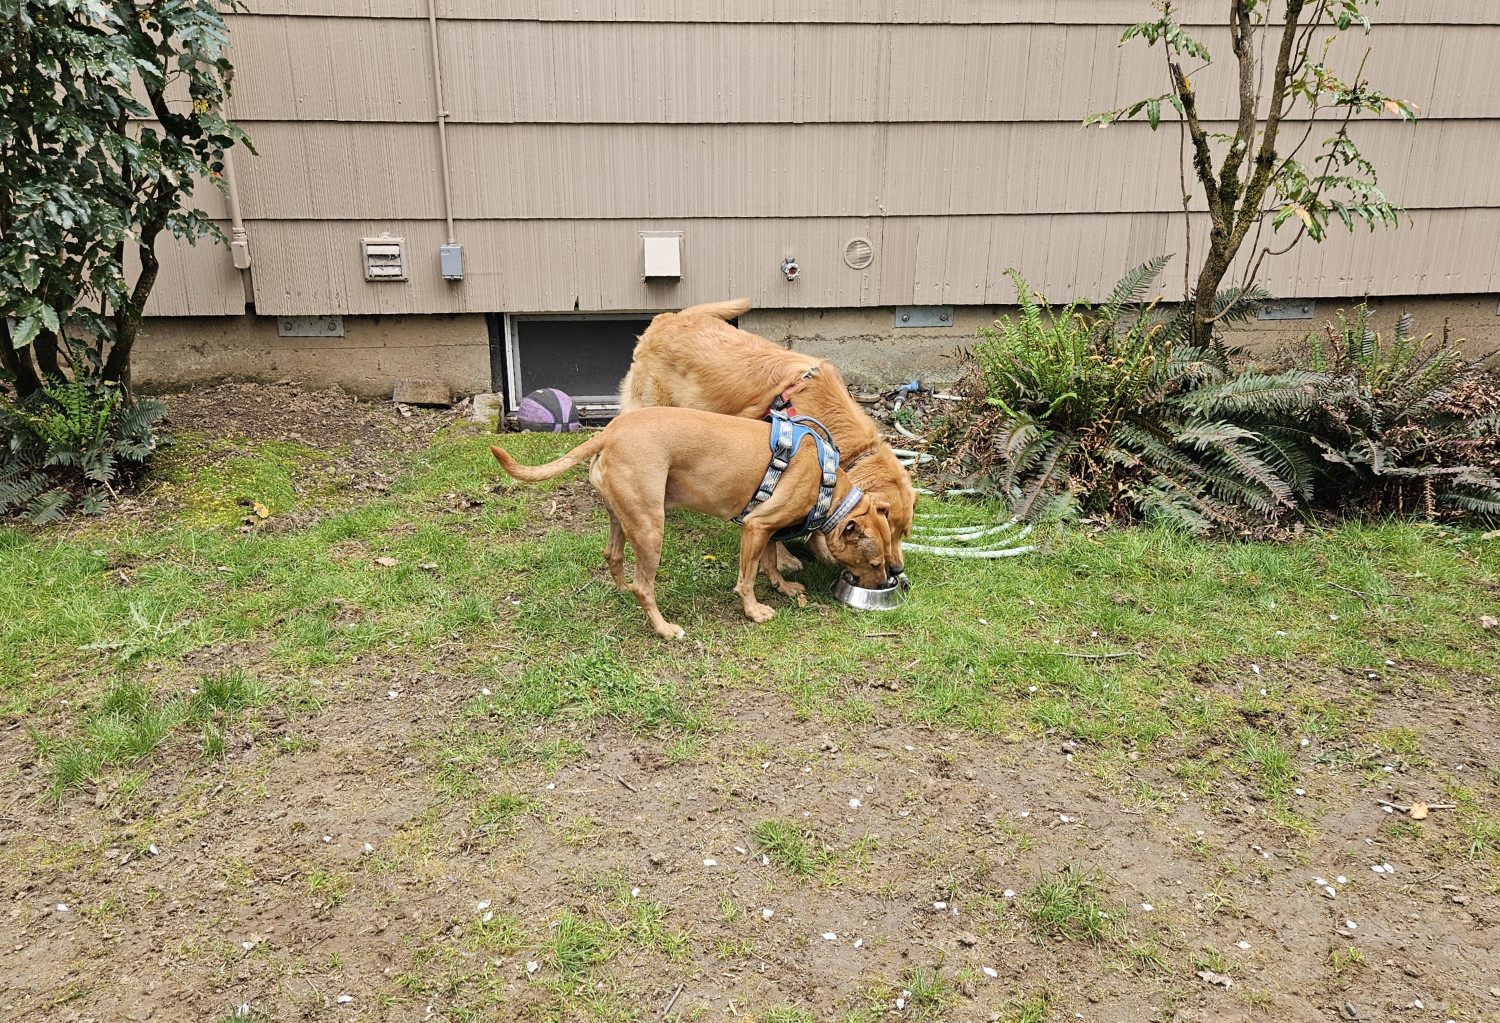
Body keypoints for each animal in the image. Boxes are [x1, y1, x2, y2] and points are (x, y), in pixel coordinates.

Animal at [492, 405, 888, 636]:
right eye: (875, 563)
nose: (888, 580)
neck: (828, 484)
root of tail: (608, 432)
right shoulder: (757, 526)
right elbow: (747, 578)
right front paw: (753, 611)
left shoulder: (765, 527)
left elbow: (771, 563)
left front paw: (784, 587)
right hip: (651, 528)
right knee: (644, 586)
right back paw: (664, 629)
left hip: (623, 518)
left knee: (613, 557)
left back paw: (621, 591)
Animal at [618, 298, 912, 579]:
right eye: (887, 525)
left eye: (903, 532)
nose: (897, 570)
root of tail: (667, 317)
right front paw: (784, 559)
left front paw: (822, 551)